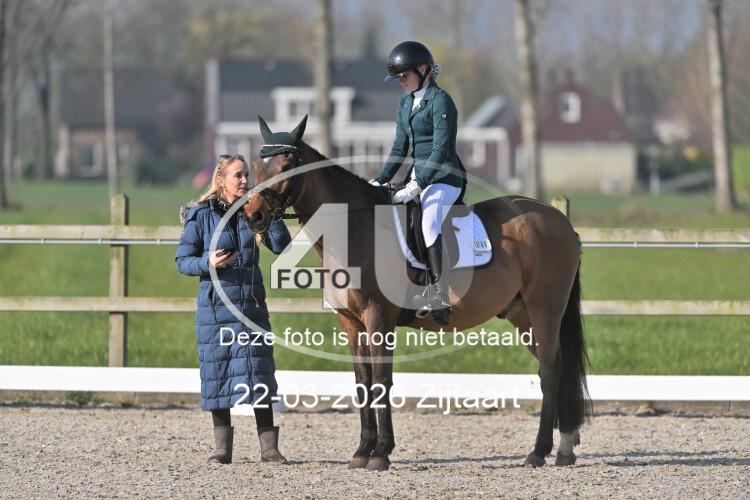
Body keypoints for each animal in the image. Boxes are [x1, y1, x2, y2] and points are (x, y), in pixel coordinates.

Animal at [242, 116, 591, 471]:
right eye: (257, 165)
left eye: (287, 164)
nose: (253, 215)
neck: (356, 229)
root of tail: (559, 220)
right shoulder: (351, 323)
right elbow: (362, 383)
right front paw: (362, 451)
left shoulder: (379, 319)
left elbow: (381, 382)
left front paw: (381, 453)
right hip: (523, 317)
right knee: (558, 368)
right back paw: (564, 449)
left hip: (544, 309)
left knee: (550, 372)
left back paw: (538, 451)